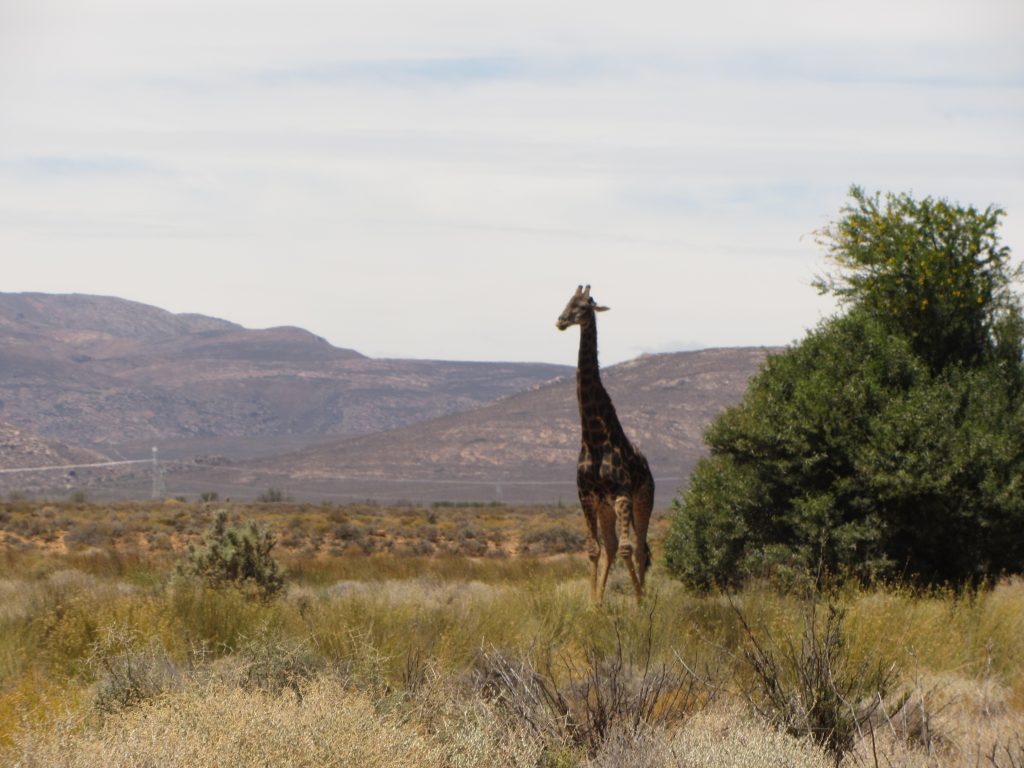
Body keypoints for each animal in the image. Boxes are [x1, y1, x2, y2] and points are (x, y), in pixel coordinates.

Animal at [557, 286, 651, 606]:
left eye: (584, 306)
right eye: (567, 301)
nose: (561, 321)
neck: (594, 436)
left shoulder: (622, 495)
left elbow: (626, 549)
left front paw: (639, 603)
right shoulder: (586, 495)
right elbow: (594, 549)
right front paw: (592, 604)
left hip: (642, 500)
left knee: (641, 548)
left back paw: (644, 599)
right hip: (606, 506)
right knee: (611, 546)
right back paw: (601, 600)